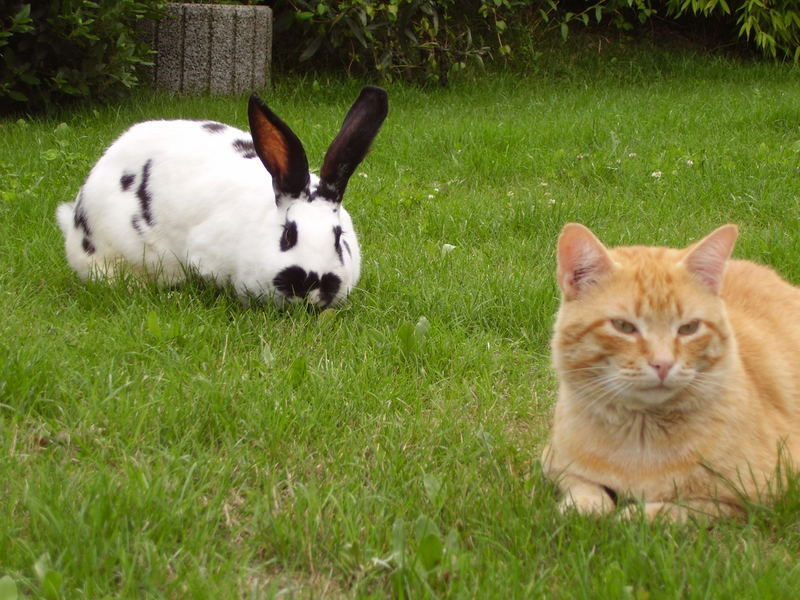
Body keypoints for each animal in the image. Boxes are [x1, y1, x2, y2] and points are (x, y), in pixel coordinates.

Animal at [540, 223, 800, 516]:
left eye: (689, 328)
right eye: (623, 326)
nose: (663, 364)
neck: (641, 436)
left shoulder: (755, 502)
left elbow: (676, 509)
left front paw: (631, 514)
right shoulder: (554, 462)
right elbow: (583, 487)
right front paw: (585, 507)